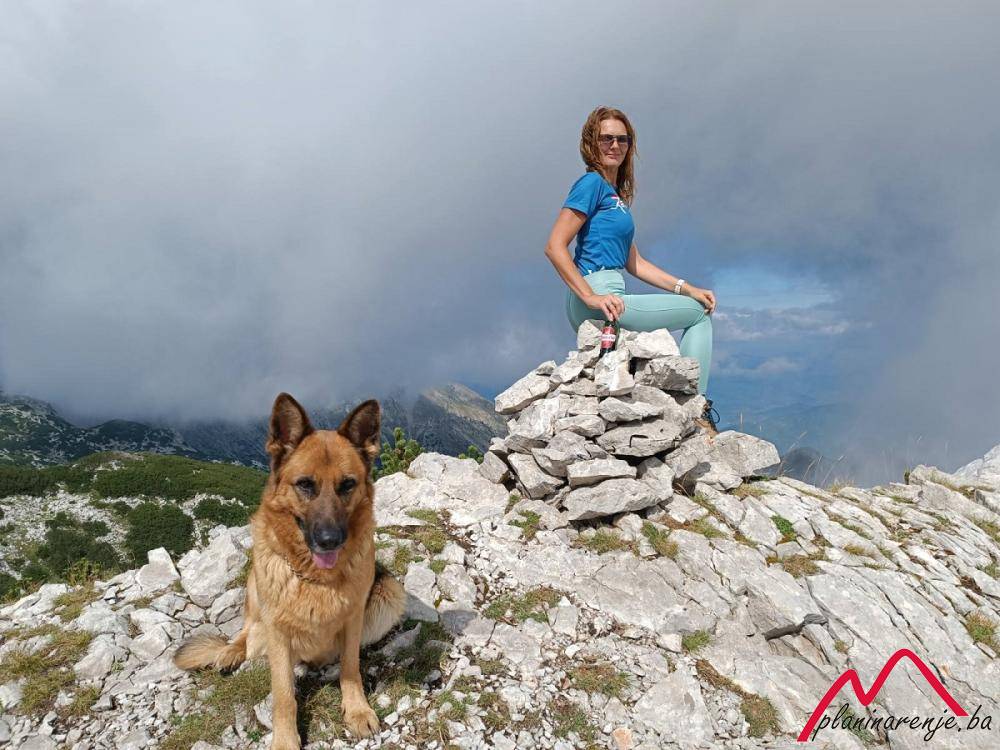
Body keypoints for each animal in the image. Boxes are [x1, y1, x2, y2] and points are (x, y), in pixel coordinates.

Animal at [174, 393, 407, 749]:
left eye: (347, 485)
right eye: (305, 485)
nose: (329, 541)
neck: (316, 578)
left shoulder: (353, 620)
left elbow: (350, 667)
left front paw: (356, 710)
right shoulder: (278, 633)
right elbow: (284, 695)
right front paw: (285, 739)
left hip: (390, 592)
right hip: (255, 589)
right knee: (246, 630)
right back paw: (230, 652)